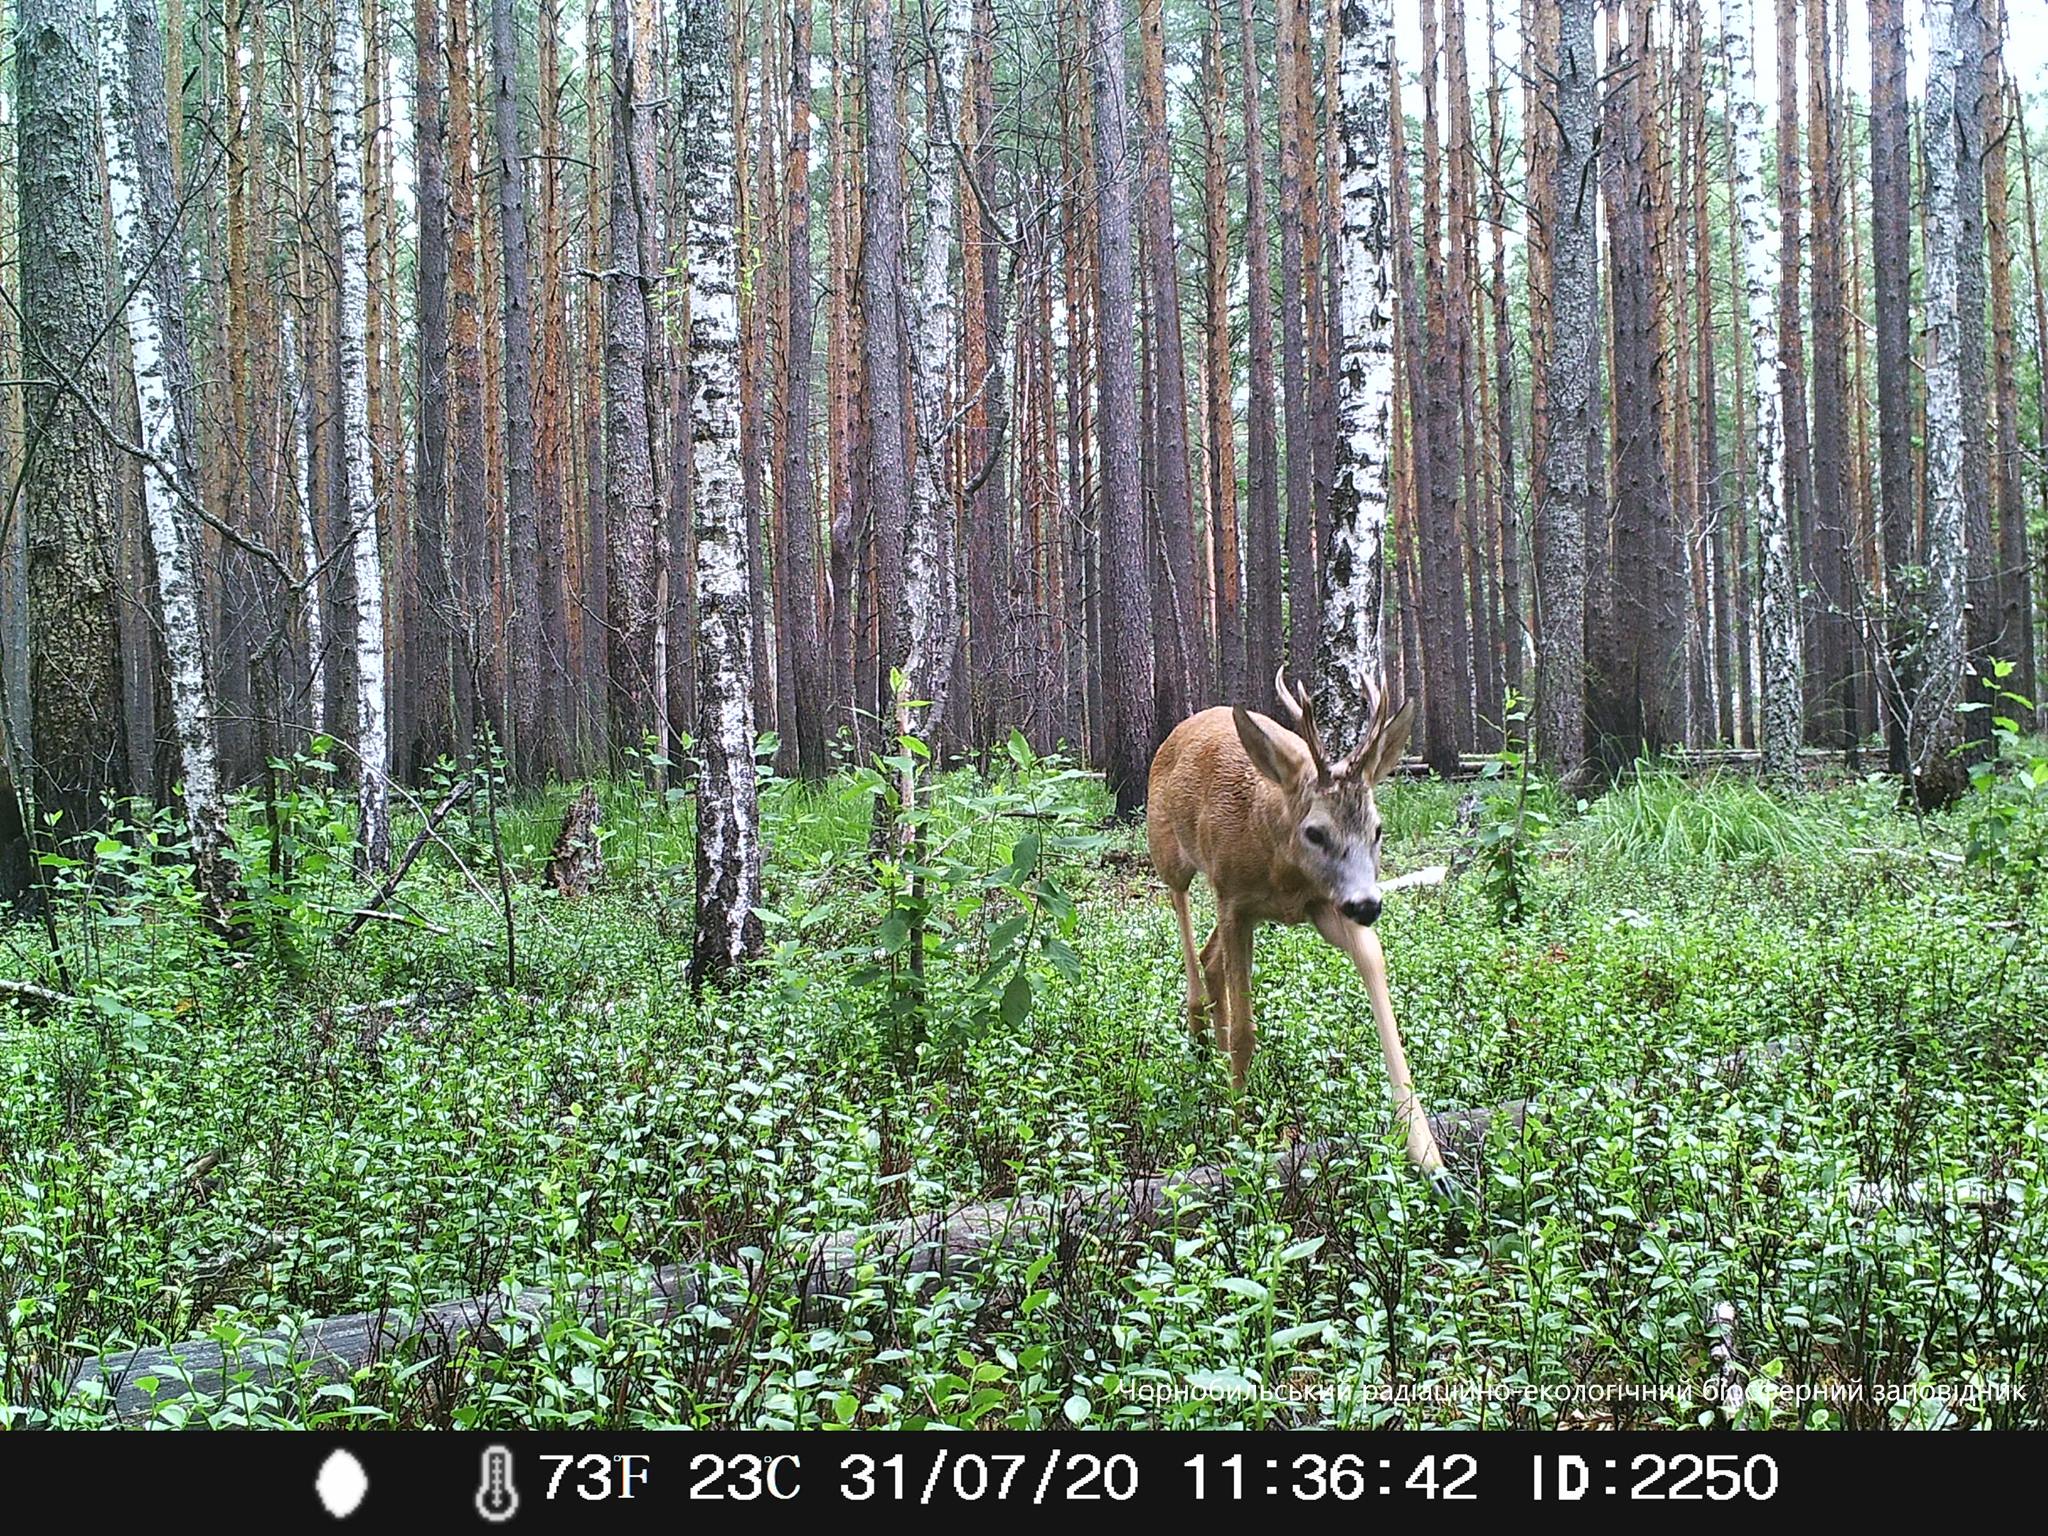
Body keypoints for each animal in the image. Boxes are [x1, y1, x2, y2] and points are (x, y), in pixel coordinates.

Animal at [1146, 671, 1449, 1187]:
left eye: (1378, 829)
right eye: (1316, 831)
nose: (1369, 904)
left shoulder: (1323, 904)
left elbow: (1373, 965)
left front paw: (1428, 1155)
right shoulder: (1234, 899)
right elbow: (1246, 1028)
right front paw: (1239, 1136)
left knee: (1210, 960)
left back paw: (1215, 1056)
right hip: (1168, 851)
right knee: (1185, 926)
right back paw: (1200, 1039)